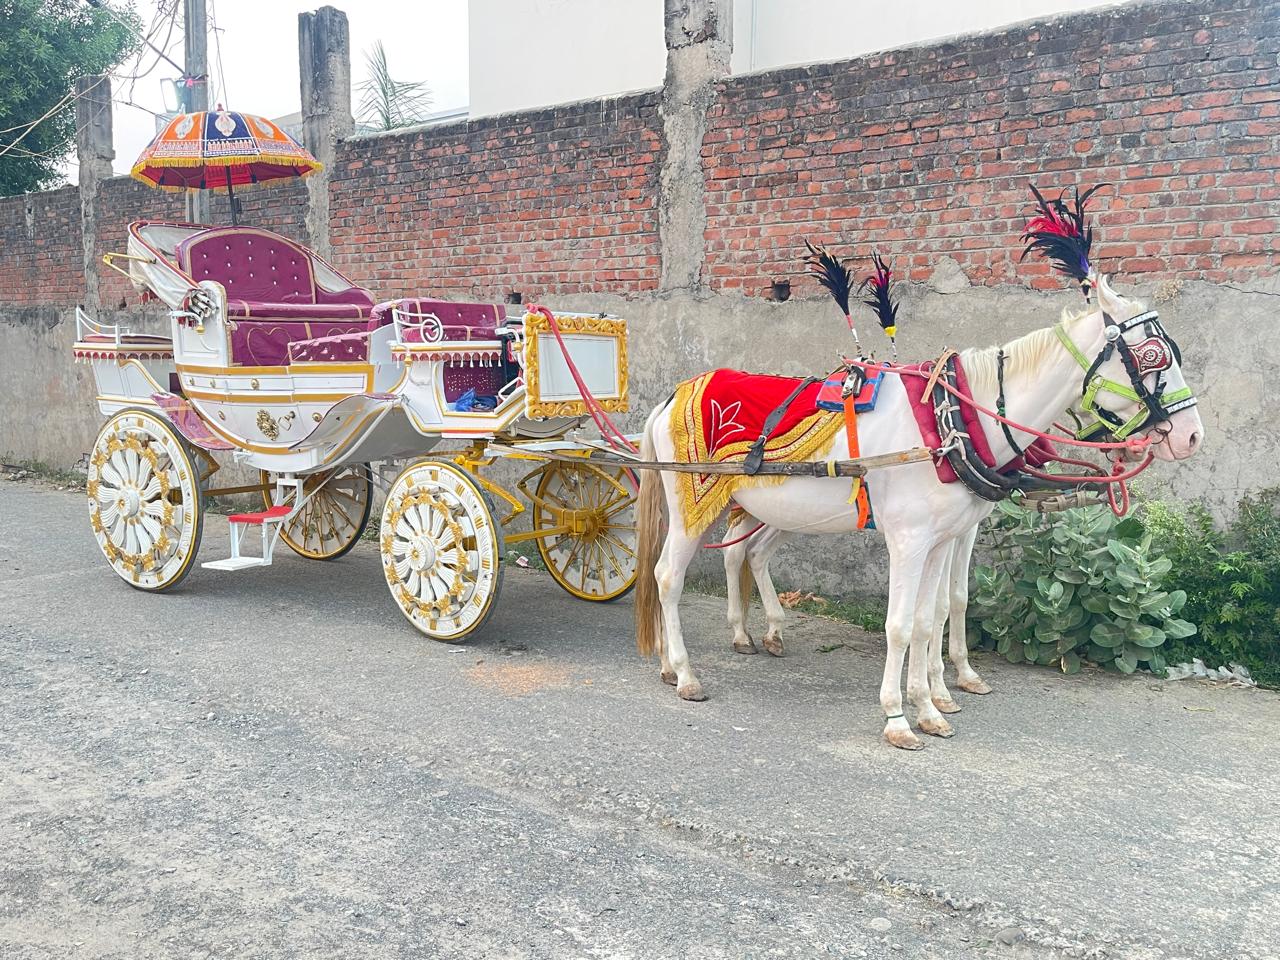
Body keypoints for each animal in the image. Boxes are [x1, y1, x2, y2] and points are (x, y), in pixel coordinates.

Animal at [633, 274, 1204, 749]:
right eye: (1153, 355)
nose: (1193, 436)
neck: (952, 422)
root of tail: (672, 397)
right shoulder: (909, 541)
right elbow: (901, 626)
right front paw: (898, 717)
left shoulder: (944, 537)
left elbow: (934, 616)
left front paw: (932, 704)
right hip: (693, 505)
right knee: (668, 577)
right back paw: (685, 672)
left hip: (764, 508)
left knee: (742, 557)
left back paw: (707, 649)